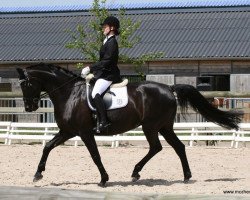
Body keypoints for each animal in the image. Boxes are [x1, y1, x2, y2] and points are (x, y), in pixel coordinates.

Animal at [16, 63, 242, 187]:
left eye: (25, 84)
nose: (29, 107)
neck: (69, 93)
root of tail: (169, 88)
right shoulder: (67, 131)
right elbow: (47, 146)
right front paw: (38, 174)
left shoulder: (84, 132)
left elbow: (95, 155)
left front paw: (104, 179)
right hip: (164, 127)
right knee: (177, 147)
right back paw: (185, 176)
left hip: (151, 126)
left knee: (156, 147)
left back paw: (136, 173)